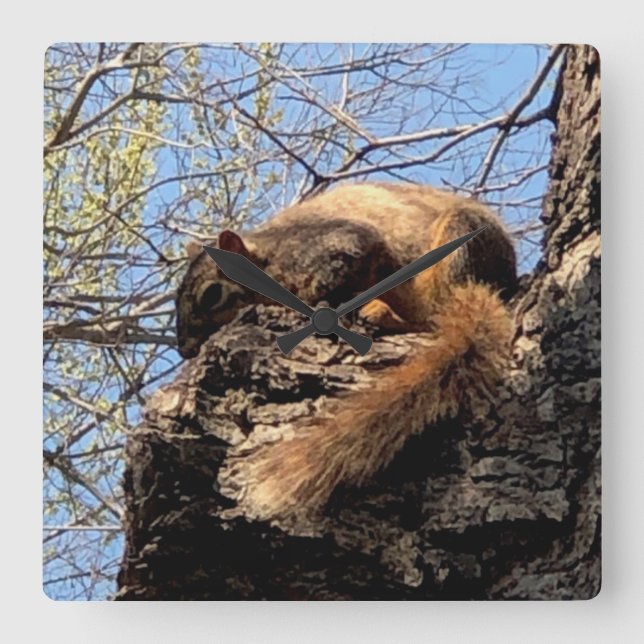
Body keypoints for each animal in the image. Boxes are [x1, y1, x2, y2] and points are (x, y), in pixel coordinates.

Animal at [175, 182, 517, 526]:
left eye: (211, 294)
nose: (184, 350)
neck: (269, 256)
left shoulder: (326, 249)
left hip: (458, 244)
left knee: (434, 311)